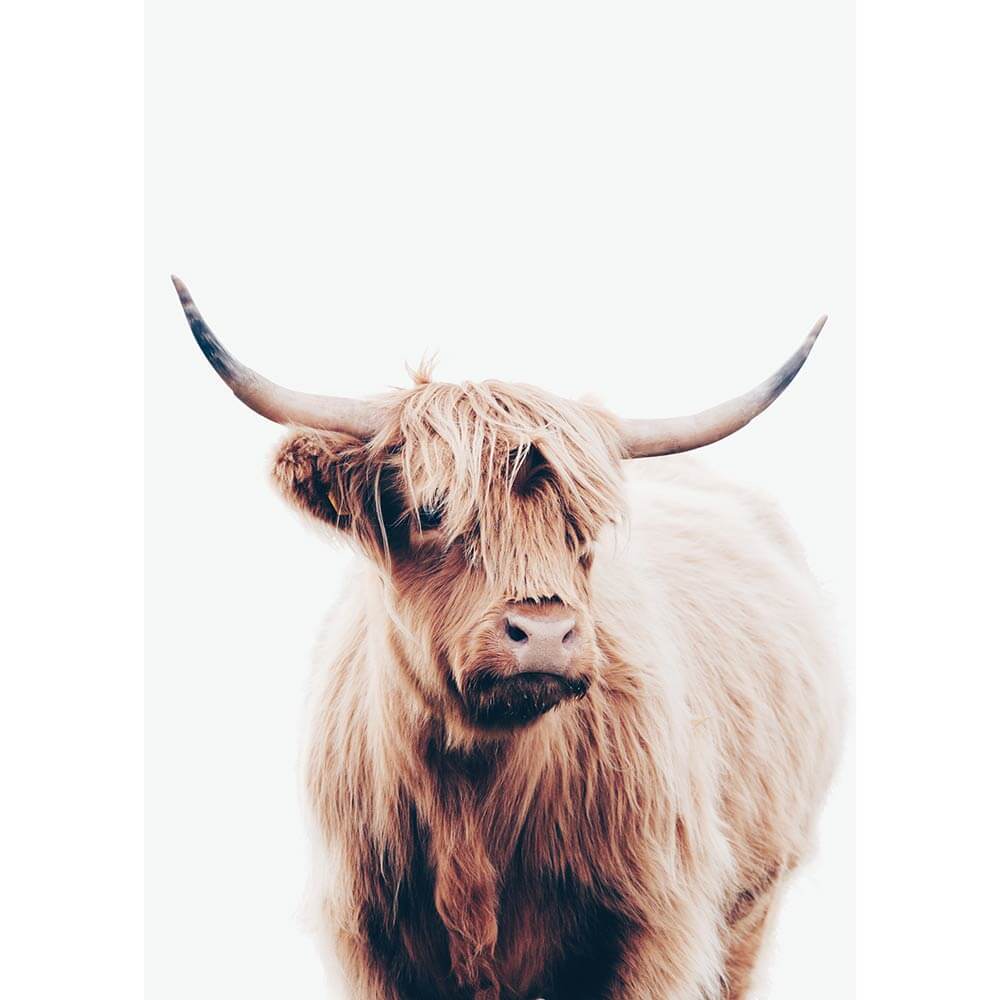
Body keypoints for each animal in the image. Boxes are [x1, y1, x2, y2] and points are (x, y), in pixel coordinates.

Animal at [172, 276, 844, 1000]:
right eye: (431, 509)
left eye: (585, 526)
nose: (546, 634)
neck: (473, 787)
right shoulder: (366, 939)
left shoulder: (654, 926)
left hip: (753, 904)